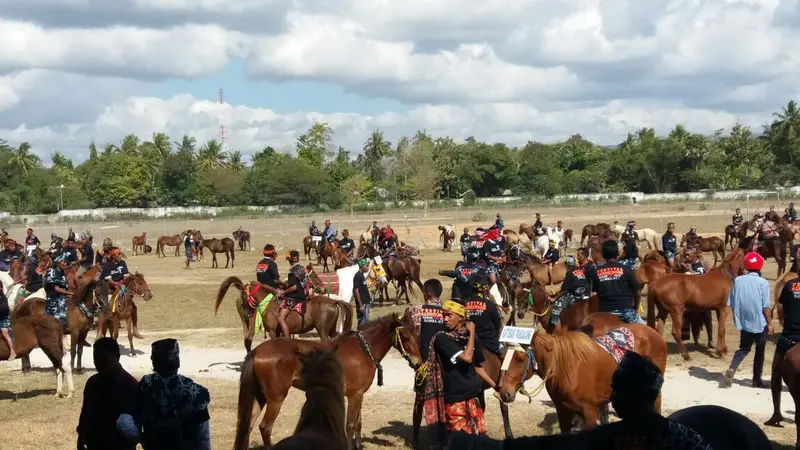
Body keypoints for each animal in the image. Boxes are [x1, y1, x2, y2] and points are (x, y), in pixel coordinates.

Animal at [214, 276, 352, 354]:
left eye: (243, 296)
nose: (247, 313)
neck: (268, 304)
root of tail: (334, 301)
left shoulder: (273, 331)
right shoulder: (279, 331)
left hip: (322, 330)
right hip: (331, 329)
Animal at [230, 312, 422, 450]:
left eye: (416, 333)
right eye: (405, 336)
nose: (418, 362)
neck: (362, 349)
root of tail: (257, 350)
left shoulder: (359, 395)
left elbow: (358, 424)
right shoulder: (354, 395)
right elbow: (350, 425)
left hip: (260, 397)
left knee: (247, 425)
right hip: (276, 398)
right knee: (265, 427)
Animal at [496, 320, 664, 432]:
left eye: (520, 359)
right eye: (502, 356)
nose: (504, 393)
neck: (564, 369)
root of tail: (653, 332)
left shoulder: (589, 412)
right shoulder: (563, 411)